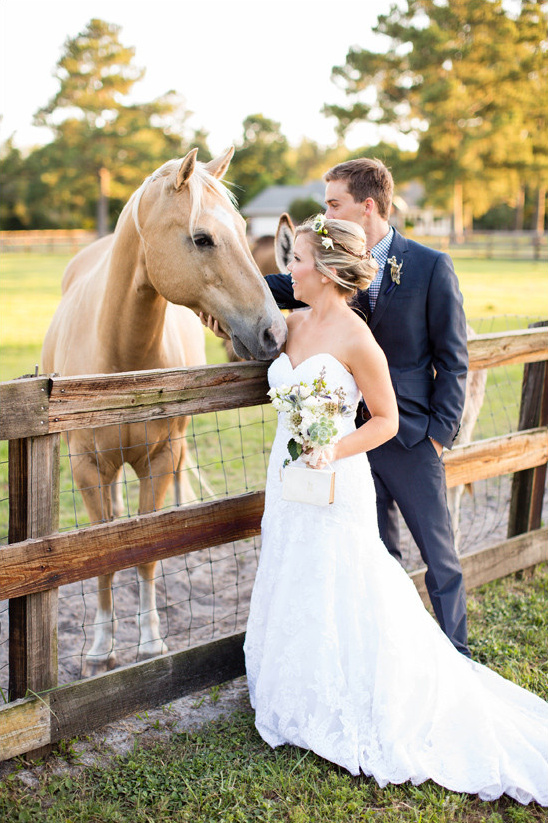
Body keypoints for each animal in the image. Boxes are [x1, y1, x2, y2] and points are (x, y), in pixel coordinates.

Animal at [42, 150, 286, 676]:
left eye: (243, 228)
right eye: (202, 238)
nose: (274, 332)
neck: (121, 362)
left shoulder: (157, 461)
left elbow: (148, 551)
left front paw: (150, 643)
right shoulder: (87, 468)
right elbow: (105, 554)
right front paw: (100, 648)